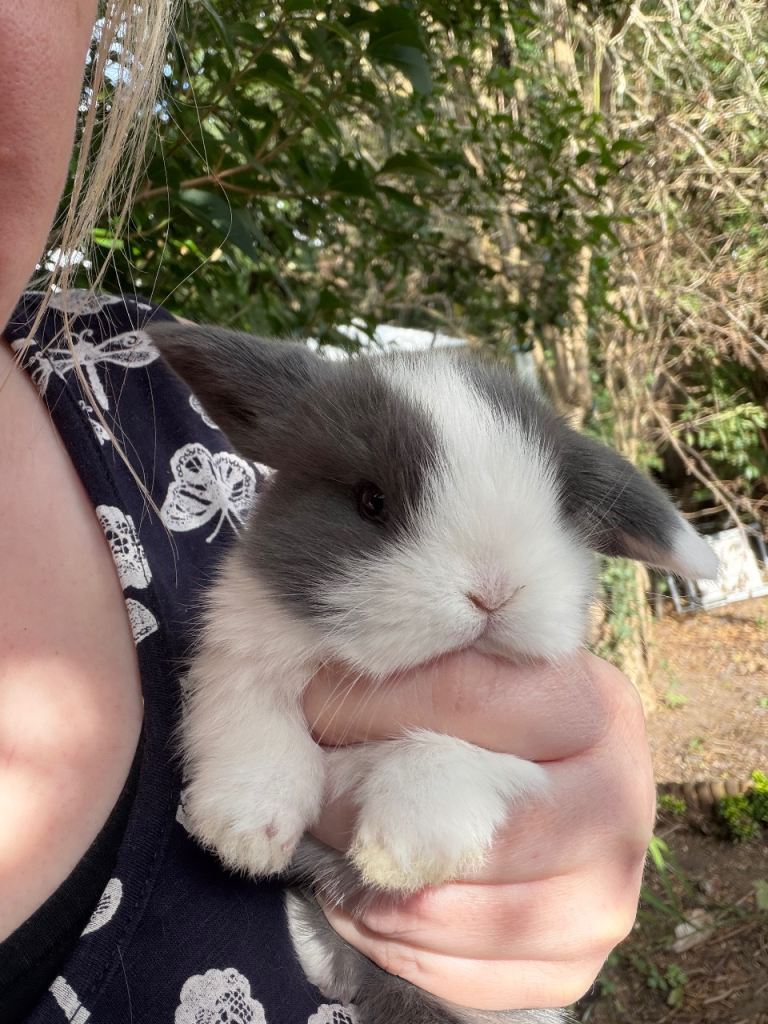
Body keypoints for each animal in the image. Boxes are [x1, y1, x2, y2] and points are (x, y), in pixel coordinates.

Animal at [148, 321, 718, 1024]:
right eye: (372, 501)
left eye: (557, 509)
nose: (494, 591)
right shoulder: (238, 648)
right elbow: (252, 723)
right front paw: (243, 834)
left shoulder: (522, 752)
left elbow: (447, 755)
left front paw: (399, 853)